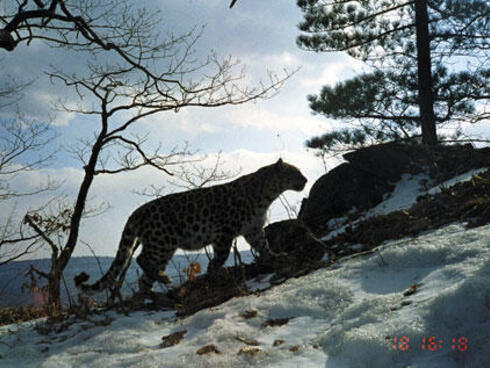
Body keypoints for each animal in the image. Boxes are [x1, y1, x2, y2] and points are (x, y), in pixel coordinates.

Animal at [75, 159, 306, 296]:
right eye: (295, 172)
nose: (305, 180)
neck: (267, 195)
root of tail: (136, 212)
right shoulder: (224, 232)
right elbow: (221, 255)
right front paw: (214, 271)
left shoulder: (253, 229)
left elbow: (264, 245)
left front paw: (276, 256)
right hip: (163, 240)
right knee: (142, 259)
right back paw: (163, 279)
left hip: (162, 247)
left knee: (145, 275)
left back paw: (148, 293)